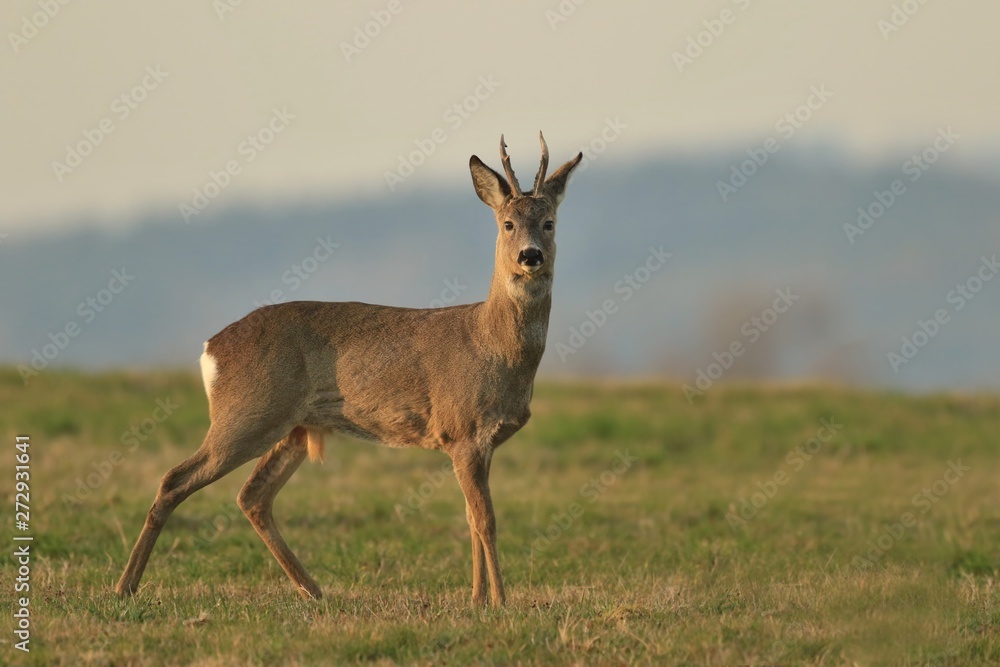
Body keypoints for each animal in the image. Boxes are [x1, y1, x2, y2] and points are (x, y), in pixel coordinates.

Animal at [115, 133, 582, 607]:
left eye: (549, 222)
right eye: (507, 224)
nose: (530, 256)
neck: (493, 347)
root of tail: (210, 349)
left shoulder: (477, 442)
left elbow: (472, 519)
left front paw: (477, 599)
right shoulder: (462, 429)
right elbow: (486, 520)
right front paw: (500, 602)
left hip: (293, 426)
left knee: (252, 495)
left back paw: (313, 589)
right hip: (247, 413)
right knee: (175, 479)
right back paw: (124, 586)